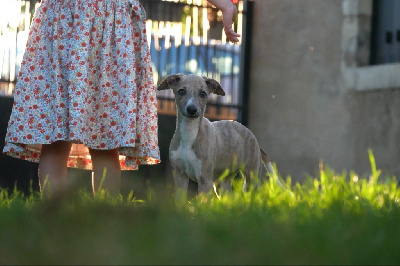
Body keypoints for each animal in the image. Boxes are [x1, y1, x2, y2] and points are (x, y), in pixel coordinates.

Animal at [156, 74, 284, 196]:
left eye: (203, 93)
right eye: (181, 91)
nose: (192, 110)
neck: (190, 134)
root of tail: (255, 140)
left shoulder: (205, 179)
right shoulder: (180, 176)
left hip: (251, 177)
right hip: (224, 181)